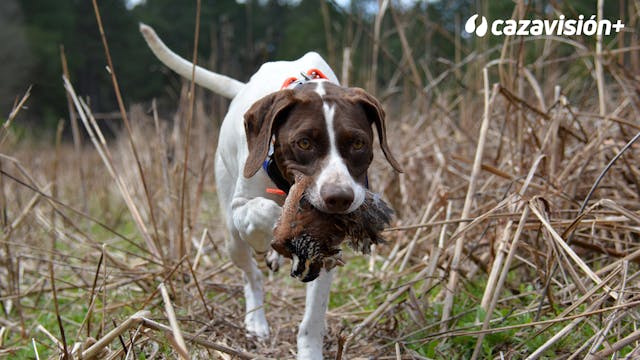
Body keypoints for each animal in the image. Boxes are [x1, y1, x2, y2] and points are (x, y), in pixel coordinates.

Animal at [141, 23, 402, 358]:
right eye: (304, 143)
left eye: (358, 143)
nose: (339, 198)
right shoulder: (242, 205)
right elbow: (262, 211)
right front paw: (275, 229)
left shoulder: (327, 250)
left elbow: (313, 317)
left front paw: (309, 351)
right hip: (230, 235)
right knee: (251, 274)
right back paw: (256, 318)